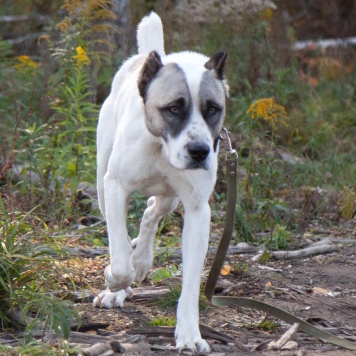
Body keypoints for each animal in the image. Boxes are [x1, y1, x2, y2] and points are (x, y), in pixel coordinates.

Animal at [94, 12, 228, 352]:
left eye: (213, 109)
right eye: (173, 108)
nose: (200, 151)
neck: (160, 146)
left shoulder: (197, 210)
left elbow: (191, 280)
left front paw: (190, 335)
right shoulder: (115, 186)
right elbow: (118, 257)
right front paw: (115, 281)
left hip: (170, 197)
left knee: (152, 210)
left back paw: (142, 259)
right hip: (102, 186)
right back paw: (121, 284)